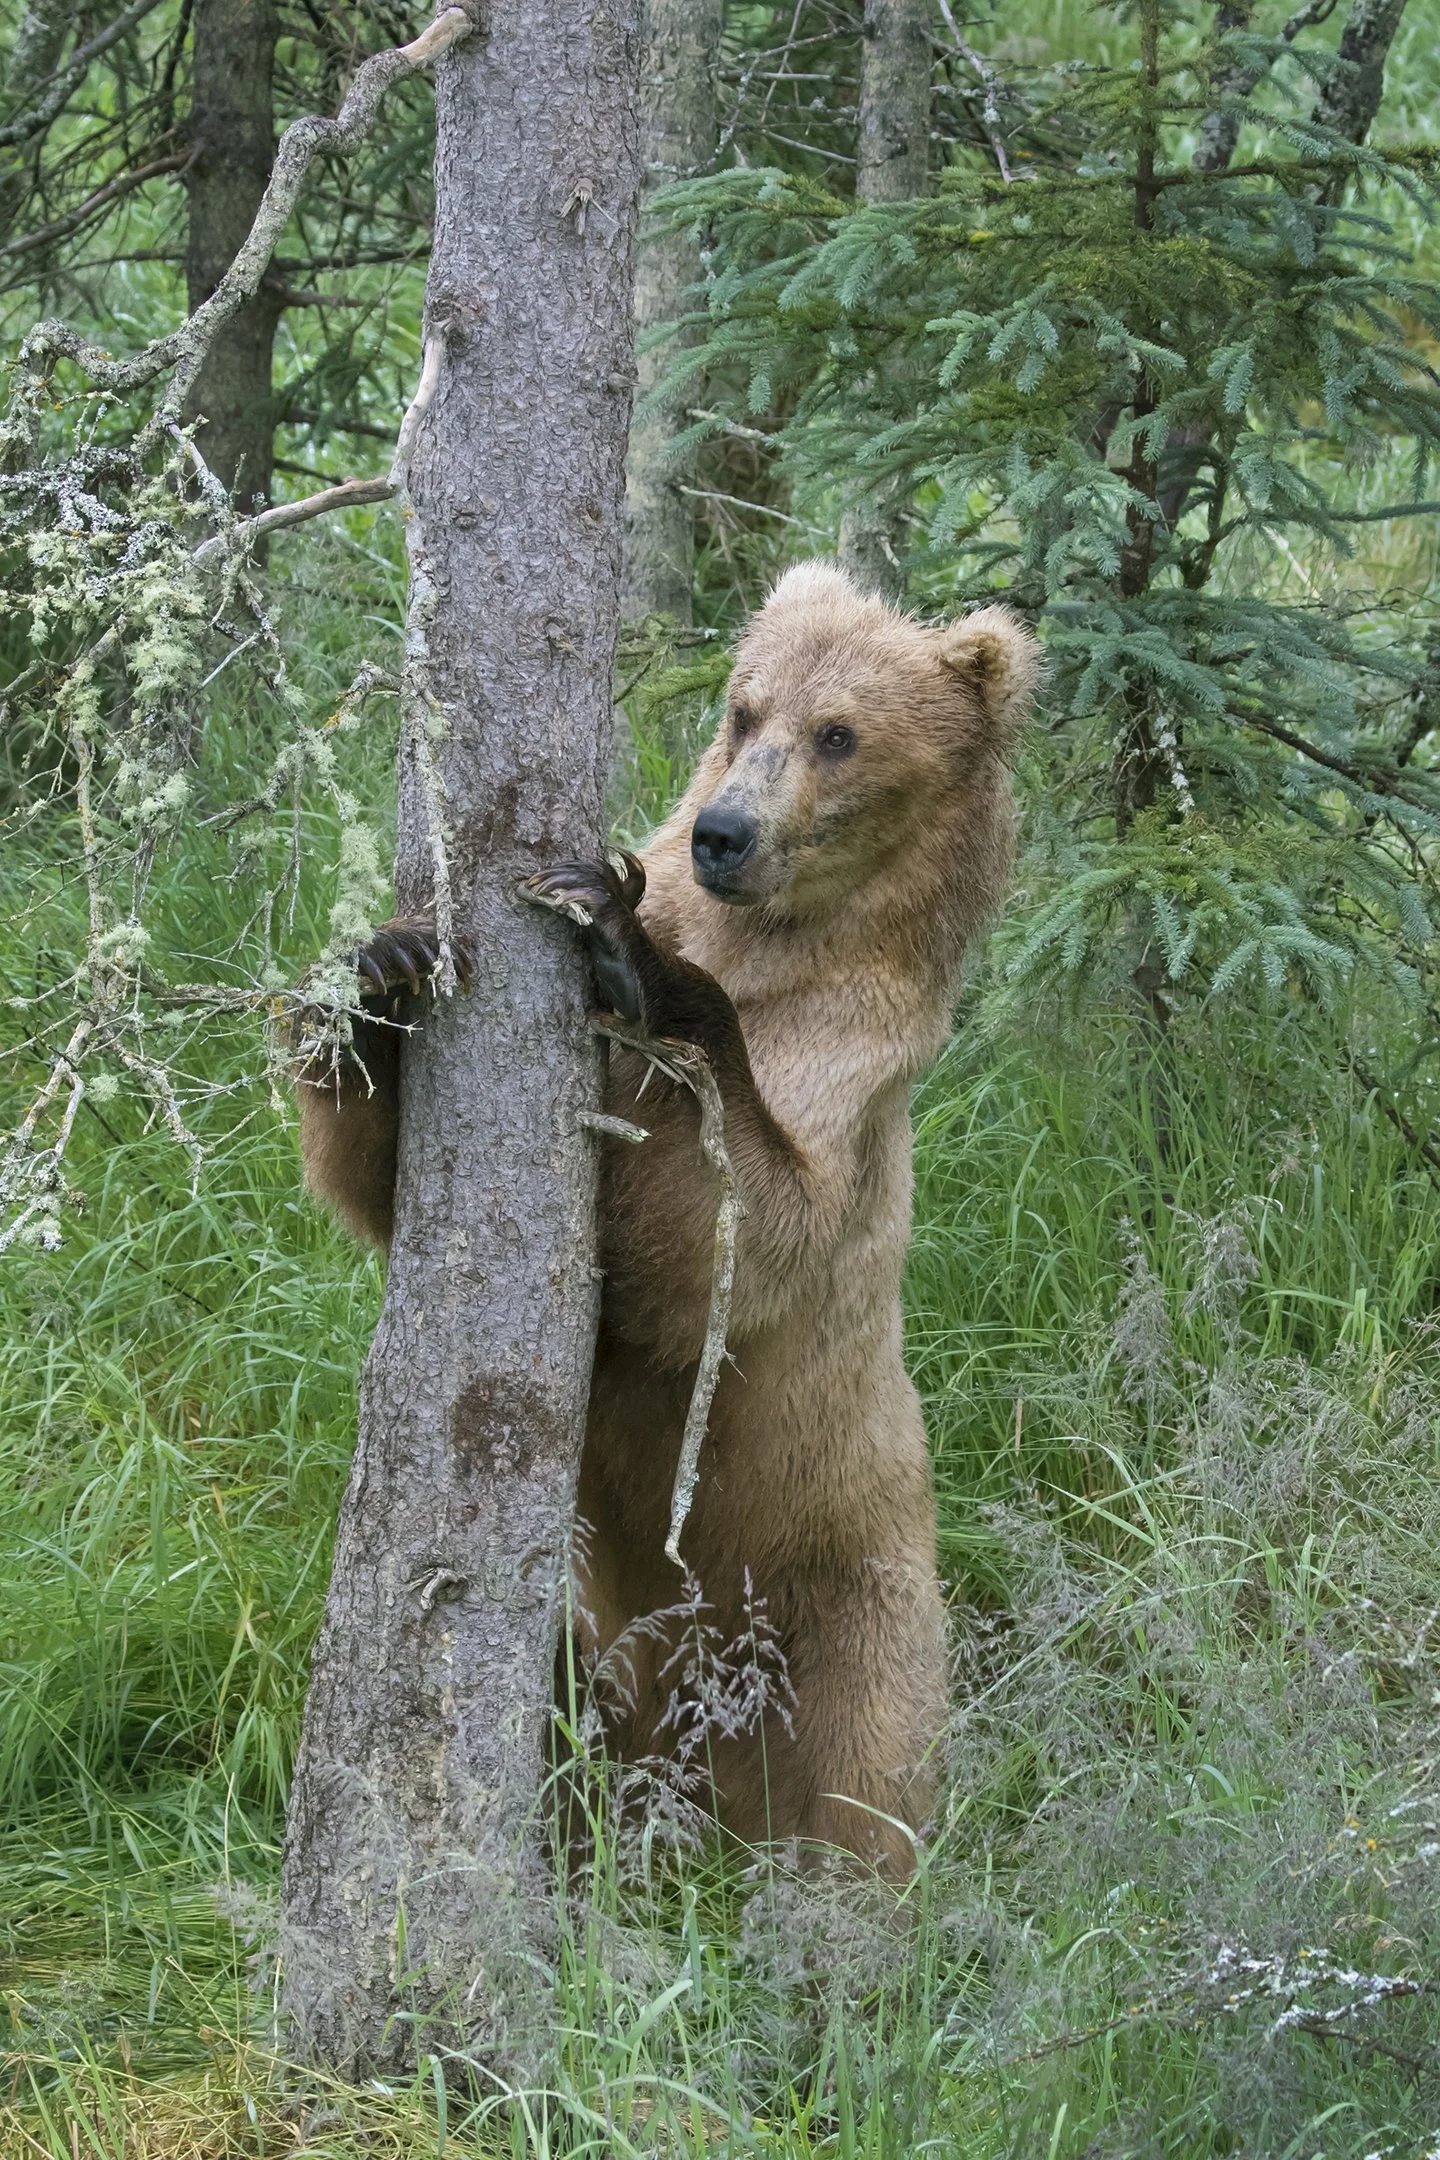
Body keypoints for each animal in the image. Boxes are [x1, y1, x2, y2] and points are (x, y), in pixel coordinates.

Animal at [297, 561, 1037, 1876]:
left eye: (840, 734)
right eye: (746, 709)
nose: (721, 833)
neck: (770, 946)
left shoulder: (849, 1082)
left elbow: (731, 1243)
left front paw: (618, 936)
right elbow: (380, 1188)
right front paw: (375, 981)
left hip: (856, 1605)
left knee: (869, 1792)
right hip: (591, 1642)